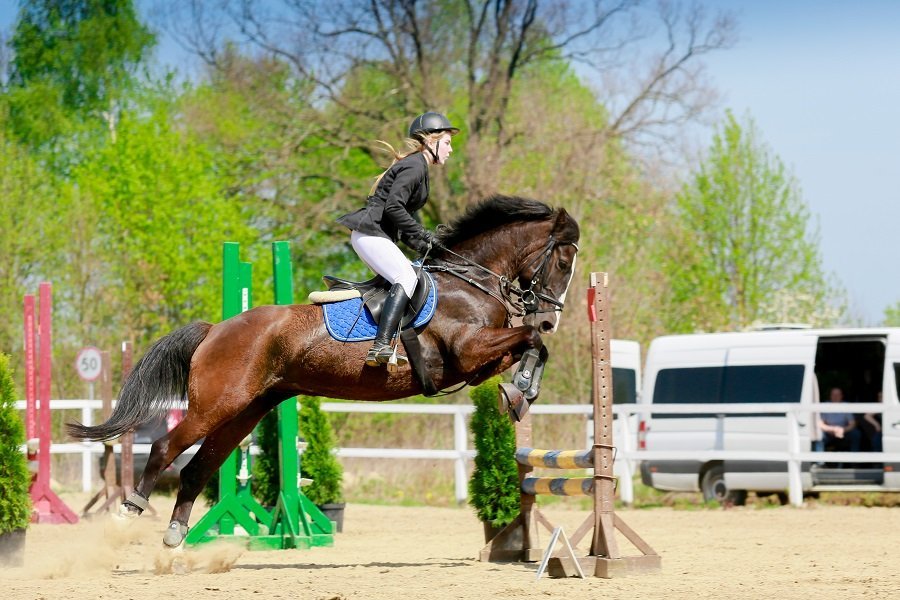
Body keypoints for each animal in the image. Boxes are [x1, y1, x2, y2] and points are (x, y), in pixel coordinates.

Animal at [67, 196, 580, 548]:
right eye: (562, 259)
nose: (552, 317)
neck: (470, 281)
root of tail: (215, 329)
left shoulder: (479, 362)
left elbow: (534, 347)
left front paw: (520, 392)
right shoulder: (469, 352)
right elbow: (530, 341)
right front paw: (520, 391)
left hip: (245, 411)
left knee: (197, 468)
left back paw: (176, 533)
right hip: (217, 404)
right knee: (164, 448)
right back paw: (129, 512)